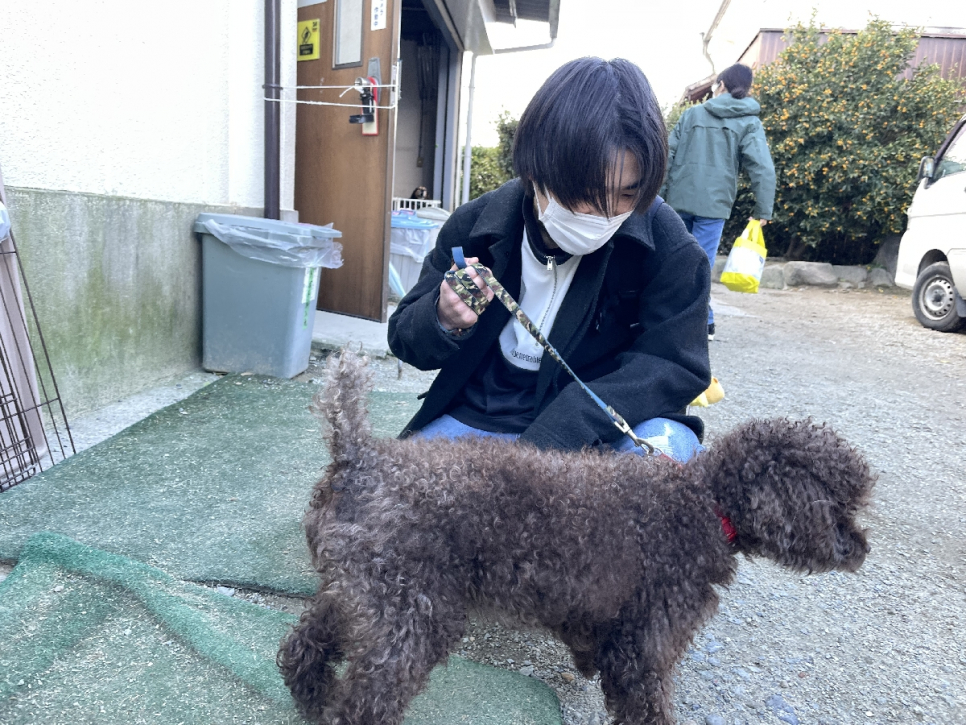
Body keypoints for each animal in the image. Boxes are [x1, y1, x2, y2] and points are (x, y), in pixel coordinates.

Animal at [278, 351, 873, 725]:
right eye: (839, 506)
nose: (861, 549)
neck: (704, 504)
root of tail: (360, 454)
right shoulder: (645, 646)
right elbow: (646, 706)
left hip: (362, 592)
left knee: (305, 644)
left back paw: (312, 700)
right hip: (410, 614)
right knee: (365, 701)